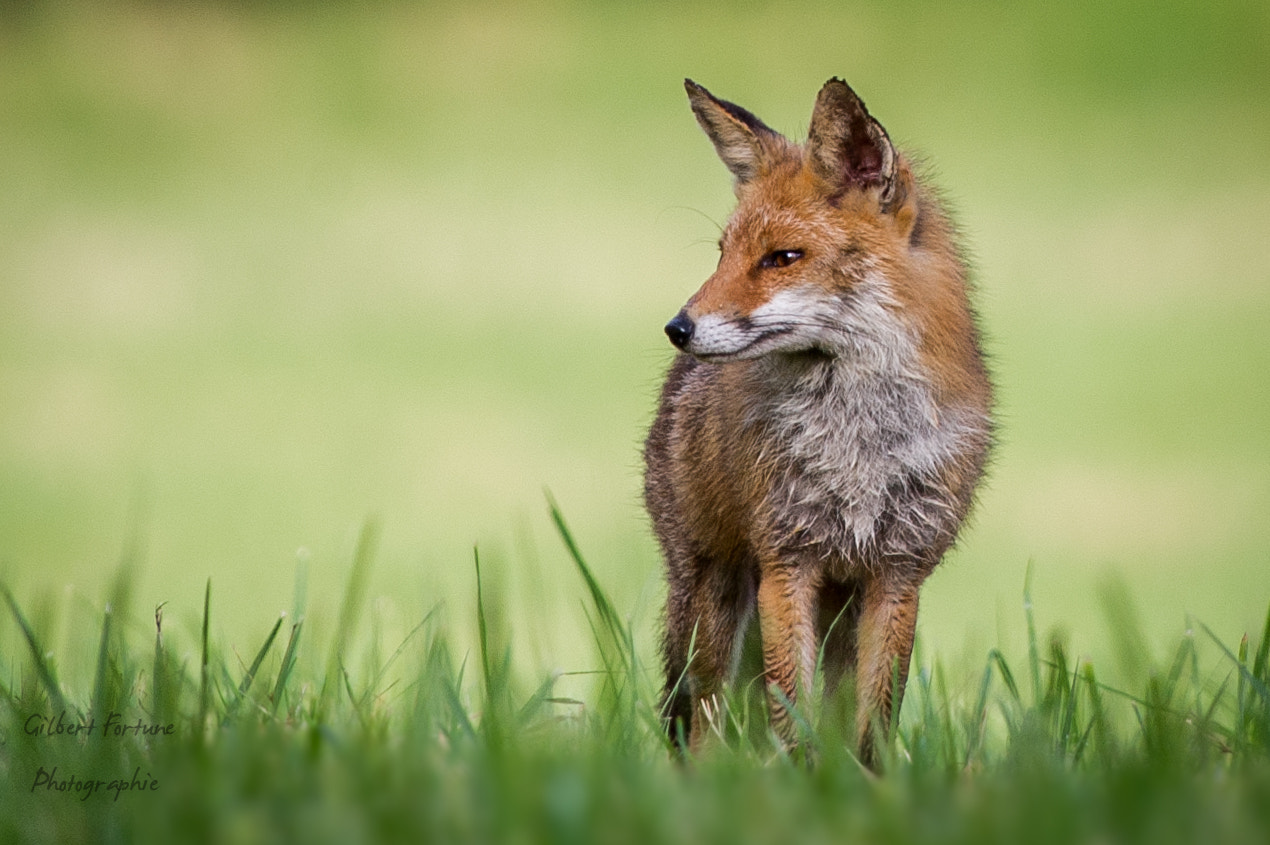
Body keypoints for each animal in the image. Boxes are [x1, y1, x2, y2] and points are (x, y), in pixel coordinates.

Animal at [644, 78, 993, 766]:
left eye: (783, 257)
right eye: (723, 254)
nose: (678, 328)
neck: (858, 440)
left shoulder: (899, 572)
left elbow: (874, 721)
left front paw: (865, 786)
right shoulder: (787, 561)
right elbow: (789, 714)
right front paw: (800, 783)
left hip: (837, 613)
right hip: (714, 596)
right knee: (702, 722)